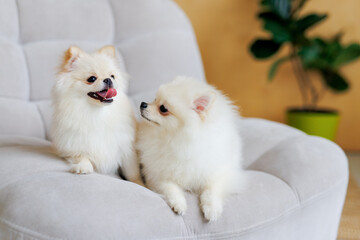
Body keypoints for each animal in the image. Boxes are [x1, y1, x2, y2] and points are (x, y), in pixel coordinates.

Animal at [51, 46, 143, 185]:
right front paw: (83, 167)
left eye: (112, 76)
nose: (108, 79)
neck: (97, 113)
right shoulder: (74, 144)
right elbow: (82, 156)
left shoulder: (126, 149)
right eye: (92, 79)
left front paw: (140, 184)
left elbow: (132, 172)